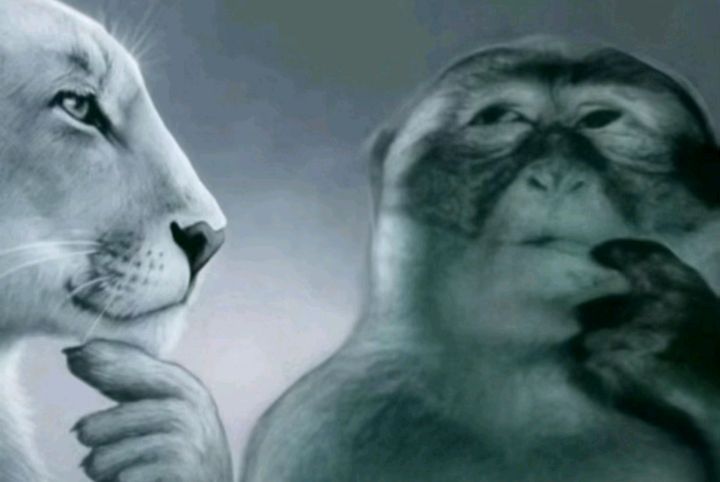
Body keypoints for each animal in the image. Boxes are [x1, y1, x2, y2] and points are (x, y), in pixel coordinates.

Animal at [240, 38, 720, 482]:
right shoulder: (316, 428)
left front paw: (684, 345)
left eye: (600, 120)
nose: (557, 174)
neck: (523, 384)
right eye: (503, 118)